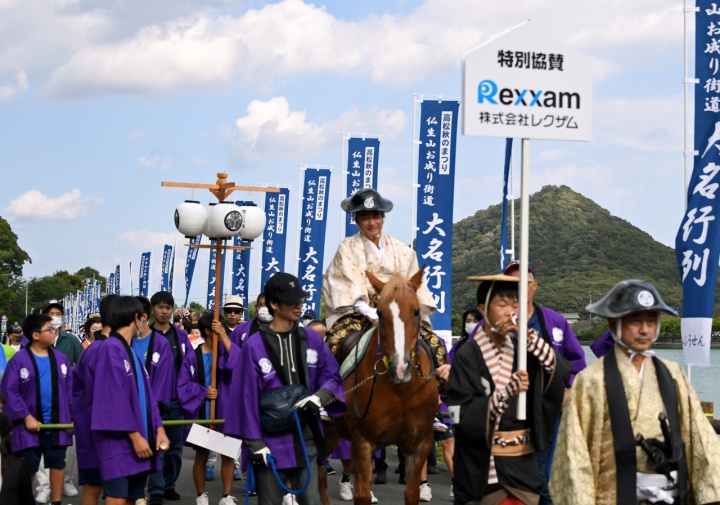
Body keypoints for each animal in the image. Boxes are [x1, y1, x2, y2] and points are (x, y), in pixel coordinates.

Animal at [322, 268, 438, 504]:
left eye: (416, 312)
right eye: (381, 313)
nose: (400, 366)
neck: (400, 391)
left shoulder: (420, 444)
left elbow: (411, 493)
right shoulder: (363, 442)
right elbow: (362, 495)